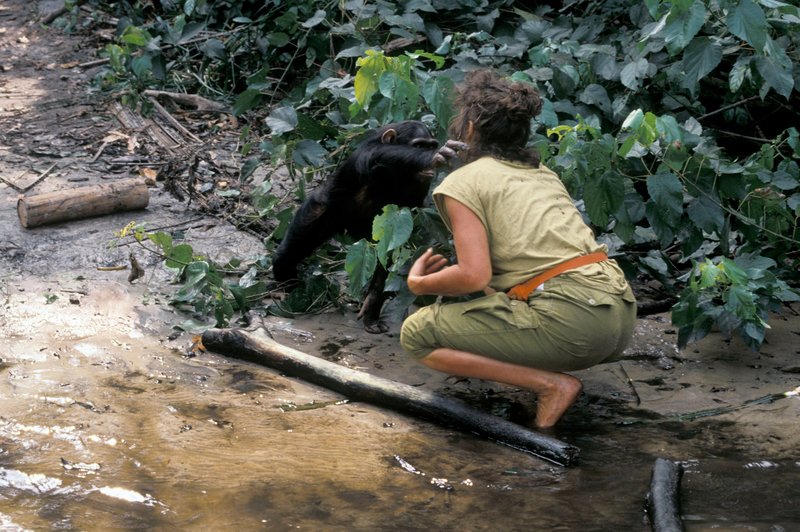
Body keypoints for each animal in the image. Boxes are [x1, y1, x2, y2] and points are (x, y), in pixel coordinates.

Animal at [274, 120, 466, 332]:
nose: (431, 153)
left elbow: (391, 248)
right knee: (302, 237)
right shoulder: (370, 152)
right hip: (325, 209)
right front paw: (441, 154)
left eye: (431, 145)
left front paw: (373, 299)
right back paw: (284, 275)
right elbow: (381, 154)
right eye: (419, 146)